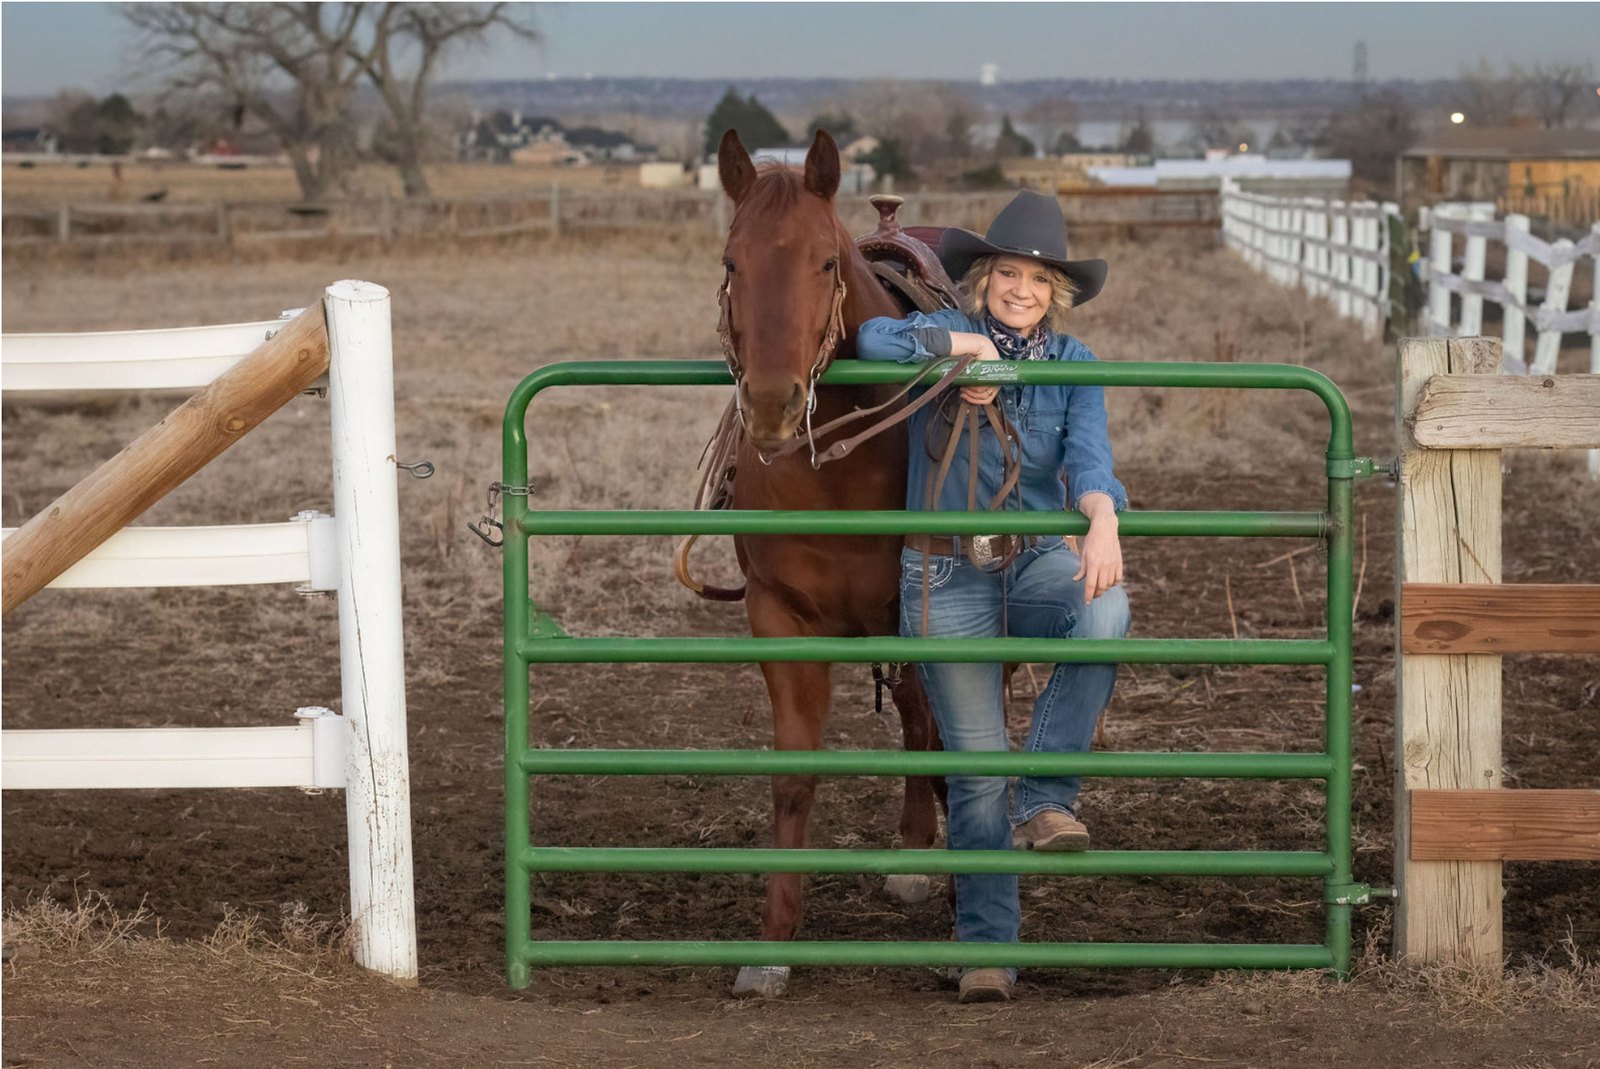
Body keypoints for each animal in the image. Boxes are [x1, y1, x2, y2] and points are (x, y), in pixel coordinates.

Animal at [714, 128, 944, 998]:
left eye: (822, 261)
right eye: (732, 261)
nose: (771, 403)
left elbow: (935, 722)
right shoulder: (779, 616)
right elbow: (794, 773)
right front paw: (772, 945)